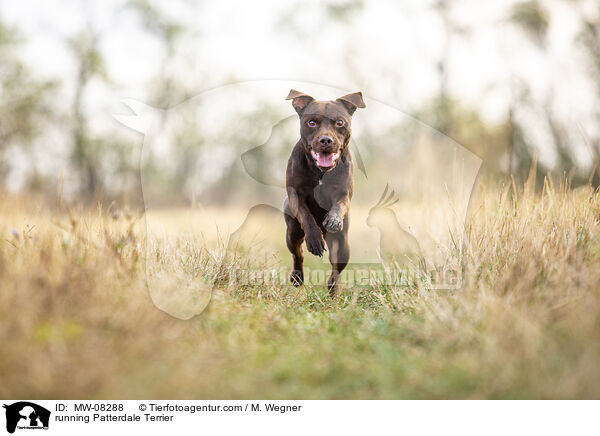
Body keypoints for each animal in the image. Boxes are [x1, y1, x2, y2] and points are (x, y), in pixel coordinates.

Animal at [284, 88, 366, 294]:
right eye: (311, 122)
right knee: (298, 254)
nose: (326, 140)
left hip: (342, 244)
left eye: (340, 122)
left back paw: (333, 289)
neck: (320, 173)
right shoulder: (295, 196)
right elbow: (306, 214)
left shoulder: (344, 195)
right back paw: (297, 277)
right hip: (292, 233)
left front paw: (333, 219)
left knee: (336, 267)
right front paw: (314, 239)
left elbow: (338, 205)